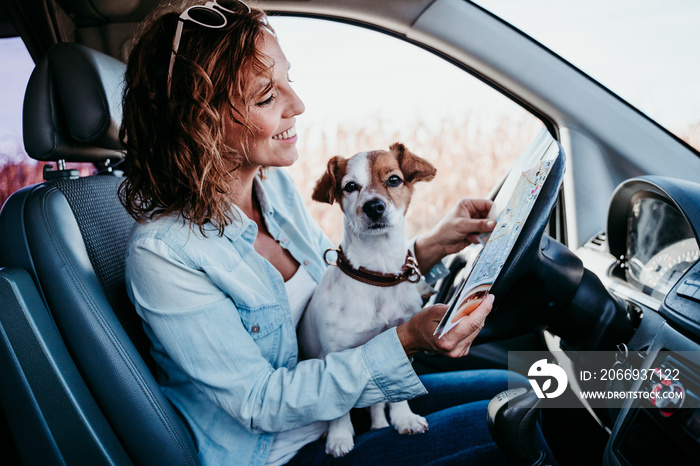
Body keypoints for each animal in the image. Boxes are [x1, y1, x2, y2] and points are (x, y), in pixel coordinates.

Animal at [300, 141, 438, 456]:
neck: (377, 273)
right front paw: (339, 437)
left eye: (394, 180)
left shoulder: (398, 344)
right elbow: (338, 407)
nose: (373, 206)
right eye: (350, 186)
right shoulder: (335, 355)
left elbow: (396, 389)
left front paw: (403, 418)